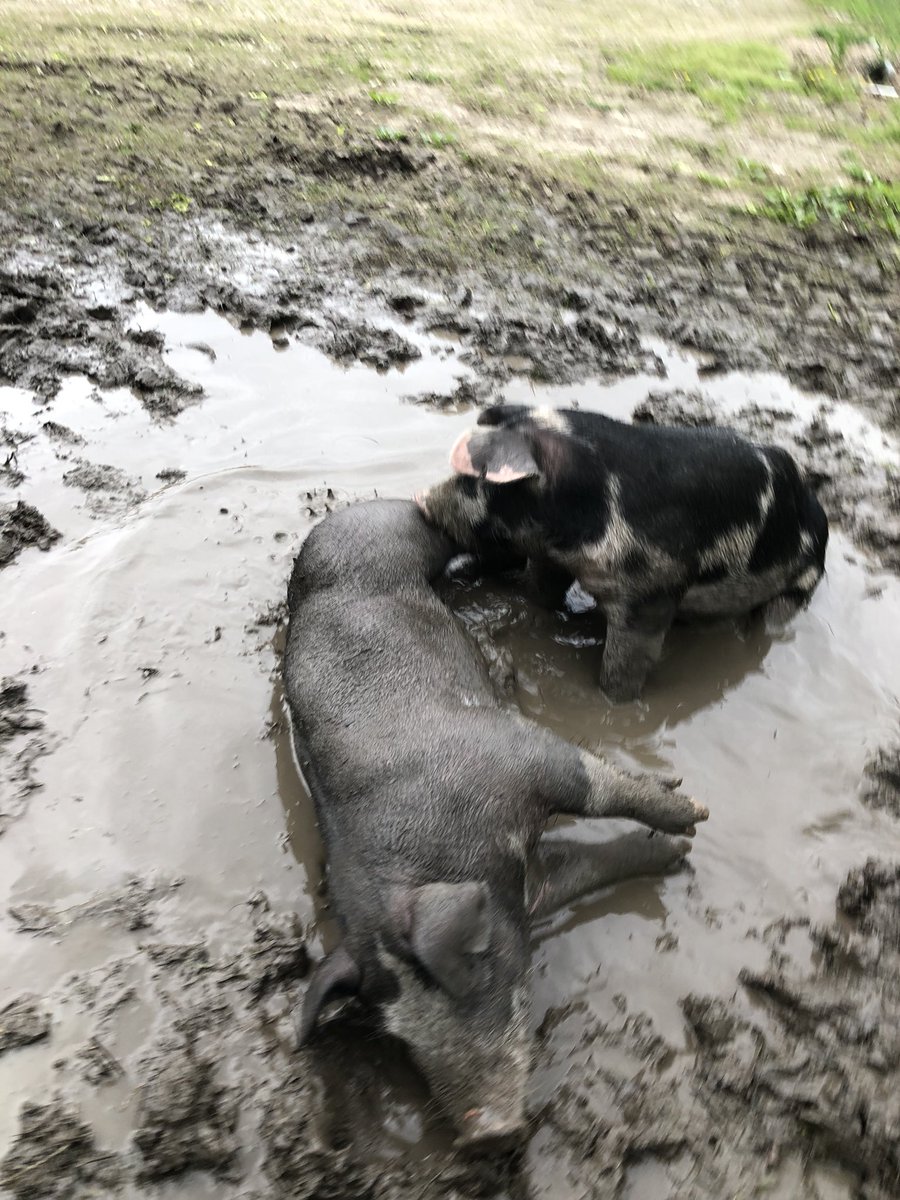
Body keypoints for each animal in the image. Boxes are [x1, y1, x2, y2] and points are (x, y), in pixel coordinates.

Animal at [284, 499, 708, 1144]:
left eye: (470, 971)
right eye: (401, 1034)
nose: (484, 1133)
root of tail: (333, 524)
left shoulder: (520, 754)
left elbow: (597, 784)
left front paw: (691, 816)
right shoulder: (526, 888)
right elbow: (586, 868)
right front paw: (671, 849)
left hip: (406, 535)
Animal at [417, 404, 828, 702]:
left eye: (476, 479)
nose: (422, 499)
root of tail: (819, 515)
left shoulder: (652, 594)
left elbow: (626, 663)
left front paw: (613, 704)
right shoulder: (553, 558)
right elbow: (541, 592)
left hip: (801, 584)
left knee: (774, 617)